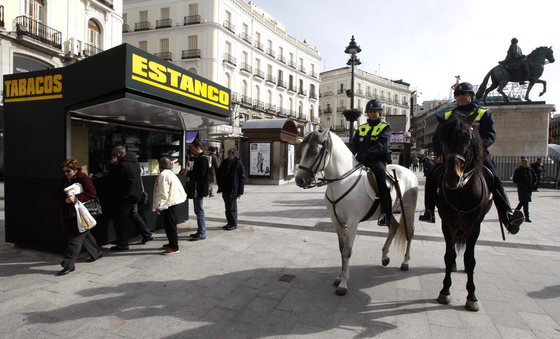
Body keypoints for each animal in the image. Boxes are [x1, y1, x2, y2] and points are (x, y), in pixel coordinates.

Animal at [296, 131, 418, 296]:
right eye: (302, 151)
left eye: (314, 152)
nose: (299, 180)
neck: (342, 181)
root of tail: (408, 171)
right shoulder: (336, 221)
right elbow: (341, 249)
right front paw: (339, 277)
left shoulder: (353, 222)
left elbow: (347, 251)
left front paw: (343, 284)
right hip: (389, 211)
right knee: (393, 226)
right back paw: (384, 257)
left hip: (409, 208)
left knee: (409, 232)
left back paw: (405, 262)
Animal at [436, 113, 492, 312]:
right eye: (442, 138)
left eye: (468, 137)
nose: (453, 178)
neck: (461, 193)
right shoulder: (447, 224)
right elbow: (448, 255)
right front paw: (445, 291)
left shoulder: (475, 227)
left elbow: (470, 259)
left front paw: (472, 296)